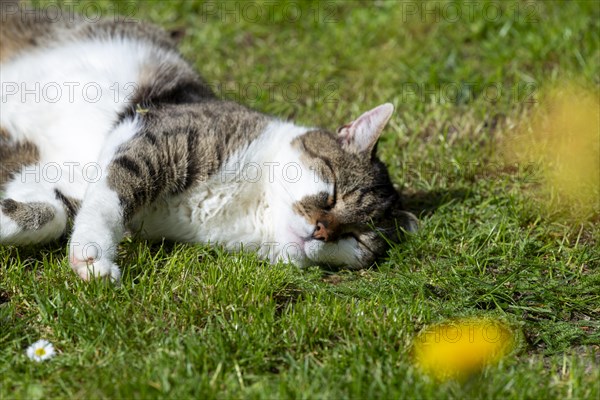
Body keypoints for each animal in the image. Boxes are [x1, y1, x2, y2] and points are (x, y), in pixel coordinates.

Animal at [0, 5, 414, 282]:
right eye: (332, 194)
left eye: (356, 237)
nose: (322, 231)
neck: (246, 205)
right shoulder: (151, 137)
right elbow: (109, 200)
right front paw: (93, 256)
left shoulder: (58, 178)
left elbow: (52, 213)